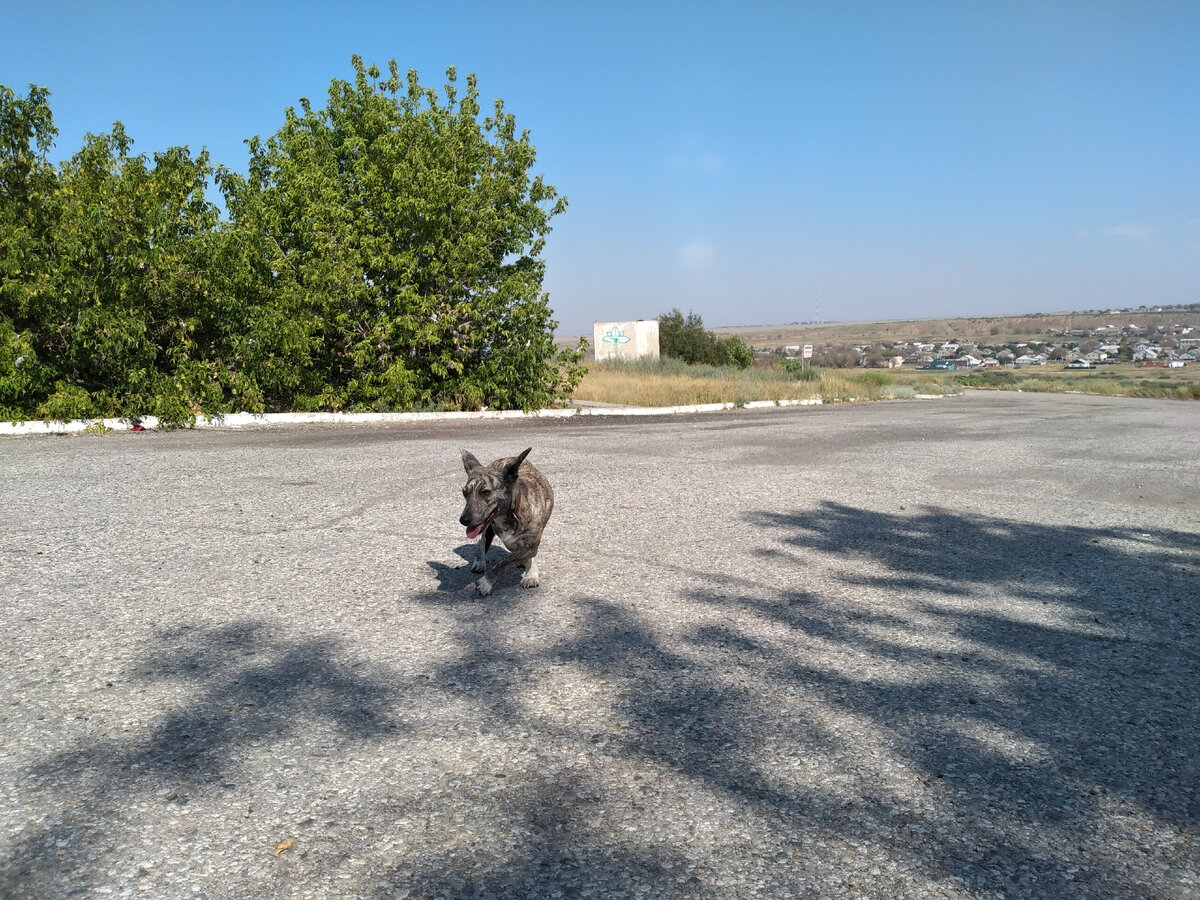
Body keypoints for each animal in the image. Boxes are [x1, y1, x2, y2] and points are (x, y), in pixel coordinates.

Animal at [458, 446, 552, 600]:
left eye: (486, 492)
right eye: (465, 493)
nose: (463, 520)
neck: (512, 513)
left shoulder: (531, 545)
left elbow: (508, 560)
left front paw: (486, 582)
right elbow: (508, 557)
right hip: (486, 526)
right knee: (482, 540)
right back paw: (480, 561)